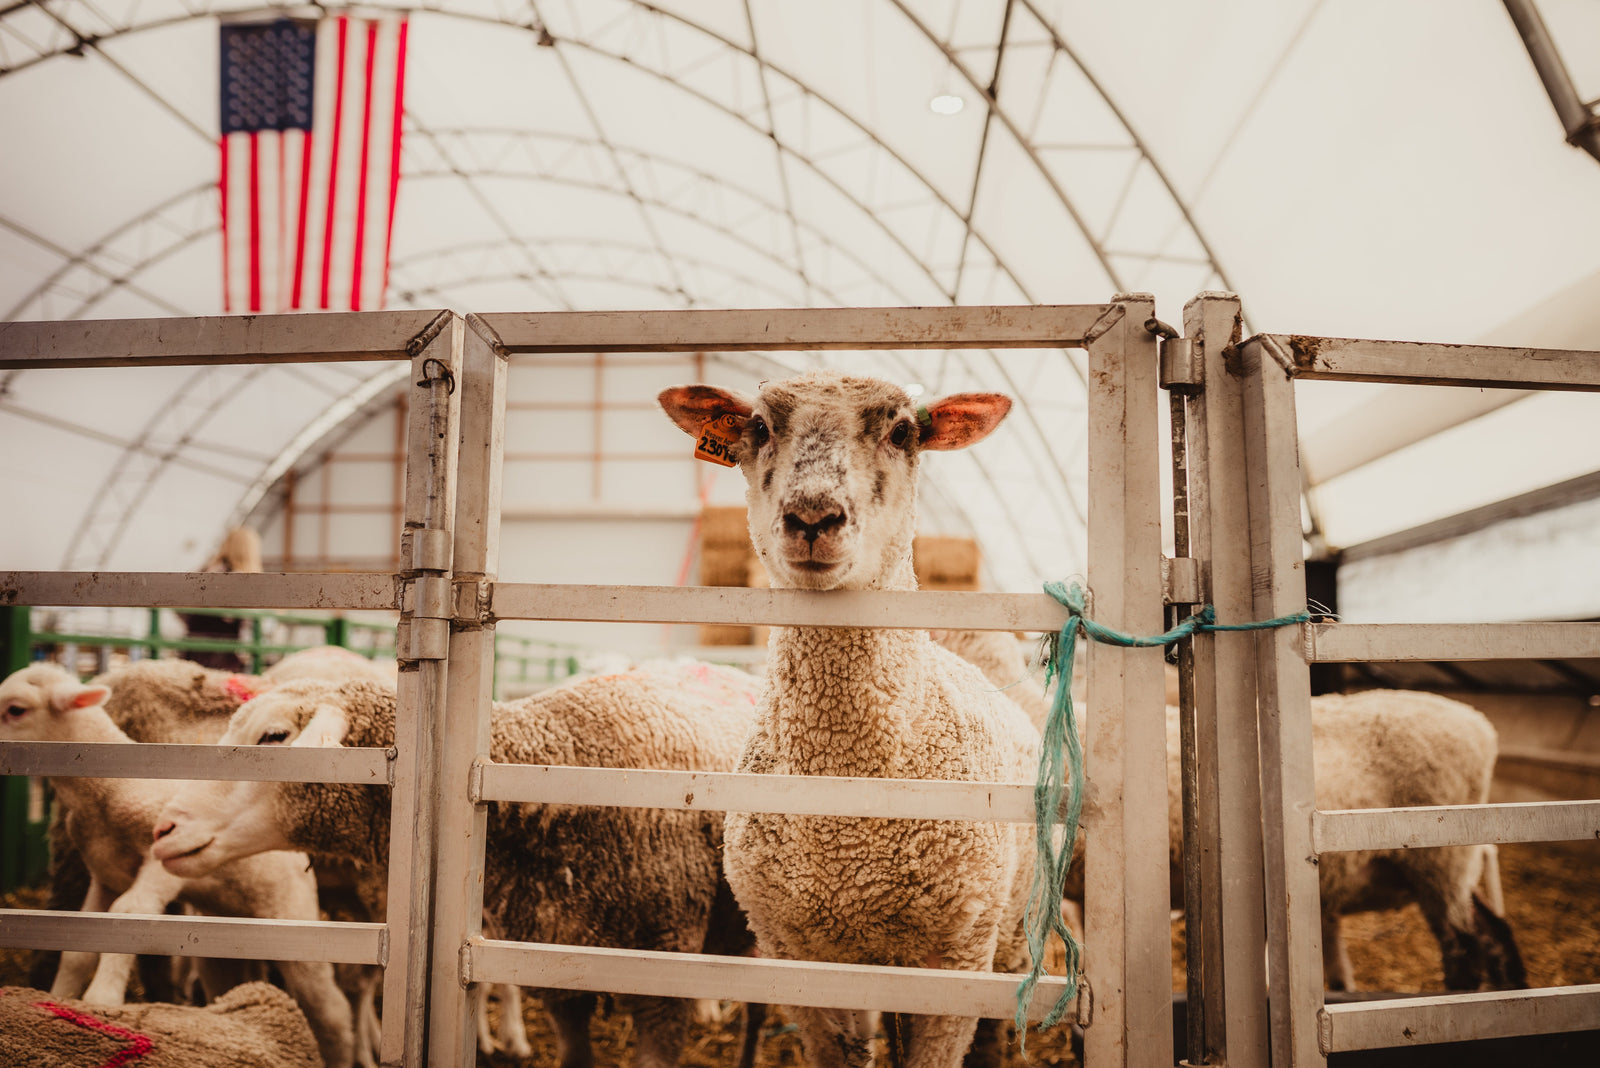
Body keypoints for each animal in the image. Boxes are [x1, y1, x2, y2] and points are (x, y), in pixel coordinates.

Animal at [0, 662, 356, 1068]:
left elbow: (130, 910)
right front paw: (61, 998)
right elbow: (79, 950)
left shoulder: (159, 861)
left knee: (331, 1010)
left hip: (292, 914)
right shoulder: (104, 876)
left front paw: (102, 1002)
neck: (109, 790)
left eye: (15, 709)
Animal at [658, 372, 1040, 1068]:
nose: (813, 517)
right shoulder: (801, 958)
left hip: (1007, 936)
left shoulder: (955, 961)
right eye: (759, 427)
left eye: (903, 431)